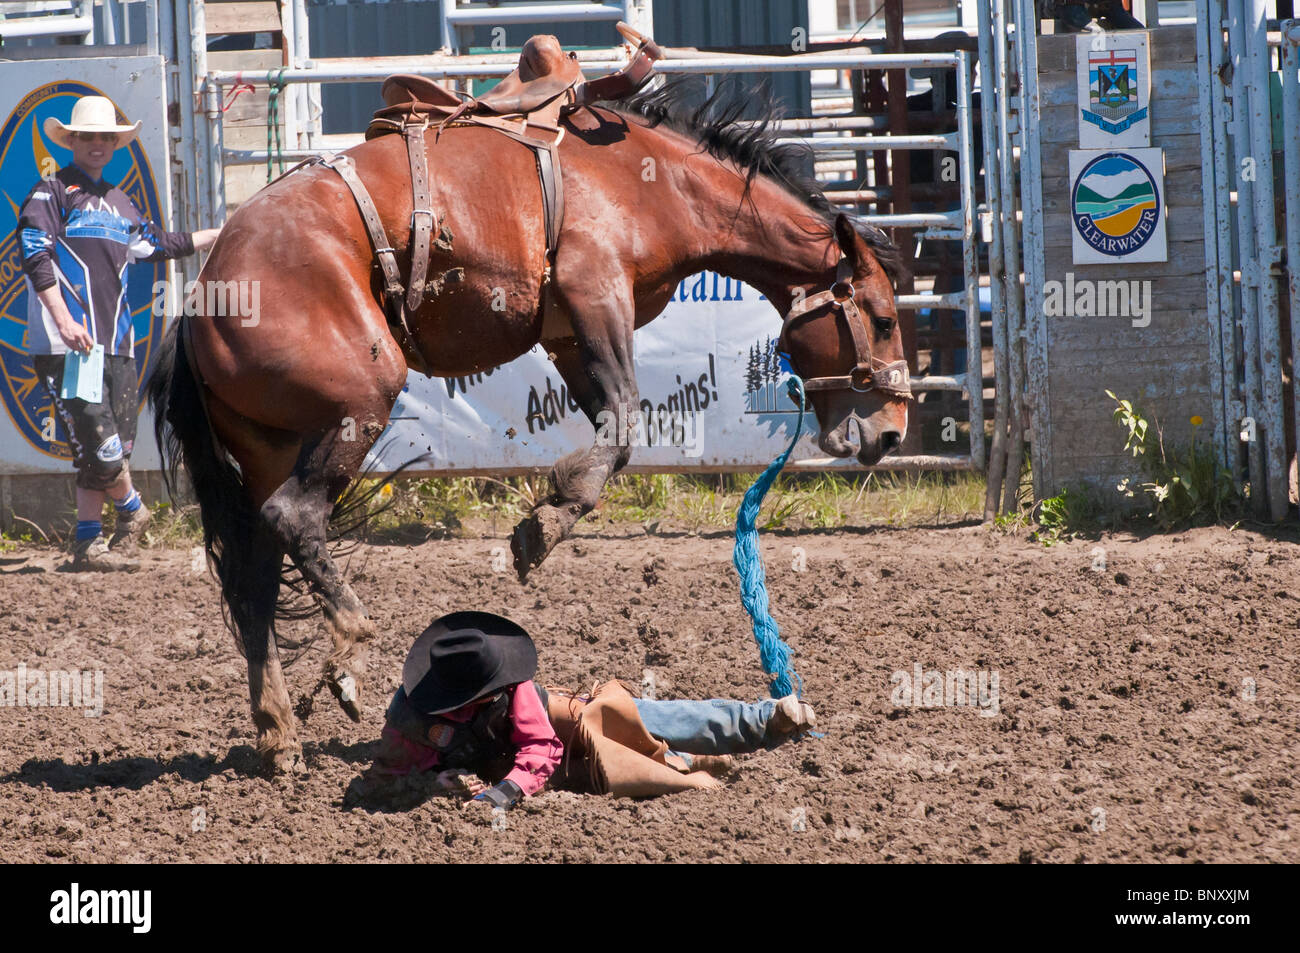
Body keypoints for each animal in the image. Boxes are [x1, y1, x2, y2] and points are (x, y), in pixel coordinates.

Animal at [149, 74, 910, 773]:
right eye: (882, 318)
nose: (893, 432)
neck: (653, 183)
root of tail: (204, 296)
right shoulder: (595, 289)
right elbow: (625, 420)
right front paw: (542, 526)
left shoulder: (570, 333)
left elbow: (613, 423)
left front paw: (550, 514)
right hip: (357, 400)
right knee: (294, 519)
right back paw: (347, 655)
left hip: (268, 445)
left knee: (255, 574)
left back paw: (278, 733)